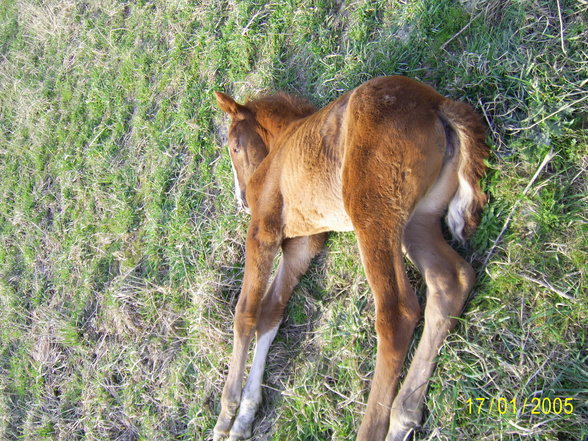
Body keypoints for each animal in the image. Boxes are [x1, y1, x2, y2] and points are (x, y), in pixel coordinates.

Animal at [211, 76, 486, 440]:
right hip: (417, 221)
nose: (242, 200)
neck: (284, 142)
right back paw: (403, 418)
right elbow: (271, 309)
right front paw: (245, 415)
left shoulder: (263, 228)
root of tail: (436, 104)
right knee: (450, 280)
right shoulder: (305, 242)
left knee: (397, 312)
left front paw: (226, 414)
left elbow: (246, 312)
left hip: (370, 207)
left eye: (234, 147)